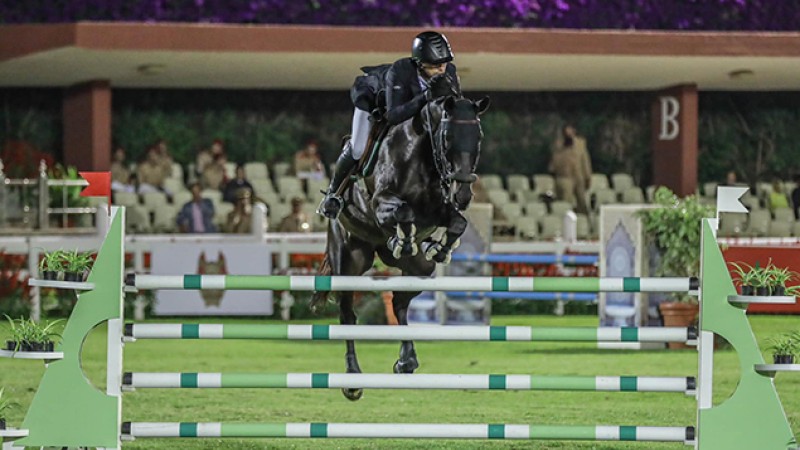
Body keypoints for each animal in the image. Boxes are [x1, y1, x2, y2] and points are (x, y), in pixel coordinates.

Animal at [310, 95, 488, 400]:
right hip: (348, 262)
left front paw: (438, 247)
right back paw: (353, 379)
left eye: (478, 137)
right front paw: (402, 239)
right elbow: (403, 211)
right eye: (447, 137)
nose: (463, 195)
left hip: (420, 269)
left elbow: (458, 222)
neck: (421, 156)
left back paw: (407, 360)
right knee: (347, 315)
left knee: (399, 301)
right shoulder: (381, 204)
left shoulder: (437, 212)